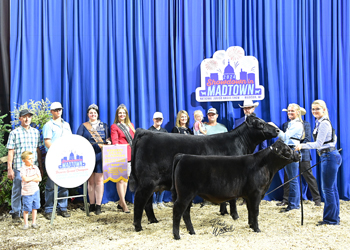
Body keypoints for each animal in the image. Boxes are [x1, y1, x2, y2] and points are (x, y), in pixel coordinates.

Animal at [129, 114, 278, 230]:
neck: (241, 143)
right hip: (148, 181)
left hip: (151, 183)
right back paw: (138, 226)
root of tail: (146, 132)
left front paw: (223, 212)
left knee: (147, 202)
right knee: (139, 200)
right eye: (260, 124)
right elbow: (232, 199)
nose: (277, 129)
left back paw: (153, 220)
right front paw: (234, 215)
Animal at [172, 141, 300, 240]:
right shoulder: (256, 193)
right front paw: (257, 229)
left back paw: (192, 232)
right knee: (178, 210)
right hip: (185, 193)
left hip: (188, 195)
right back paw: (177, 236)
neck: (266, 166)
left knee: (186, 212)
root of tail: (183, 156)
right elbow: (255, 211)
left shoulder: (249, 195)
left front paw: (251, 226)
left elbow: (250, 210)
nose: (299, 155)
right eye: (287, 150)